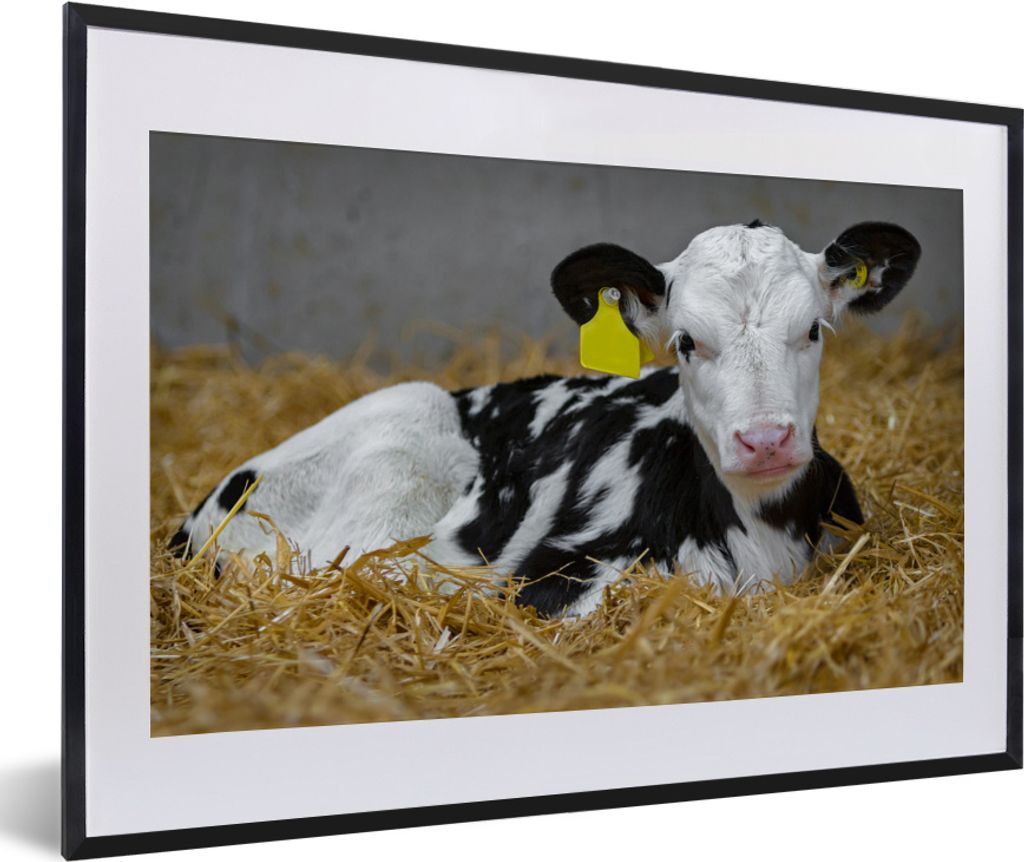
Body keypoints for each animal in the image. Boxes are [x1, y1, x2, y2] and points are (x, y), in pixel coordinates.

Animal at [169, 220, 920, 617]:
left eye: (814, 330)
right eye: (685, 341)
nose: (765, 439)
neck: (760, 536)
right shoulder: (561, 575)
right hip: (397, 447)